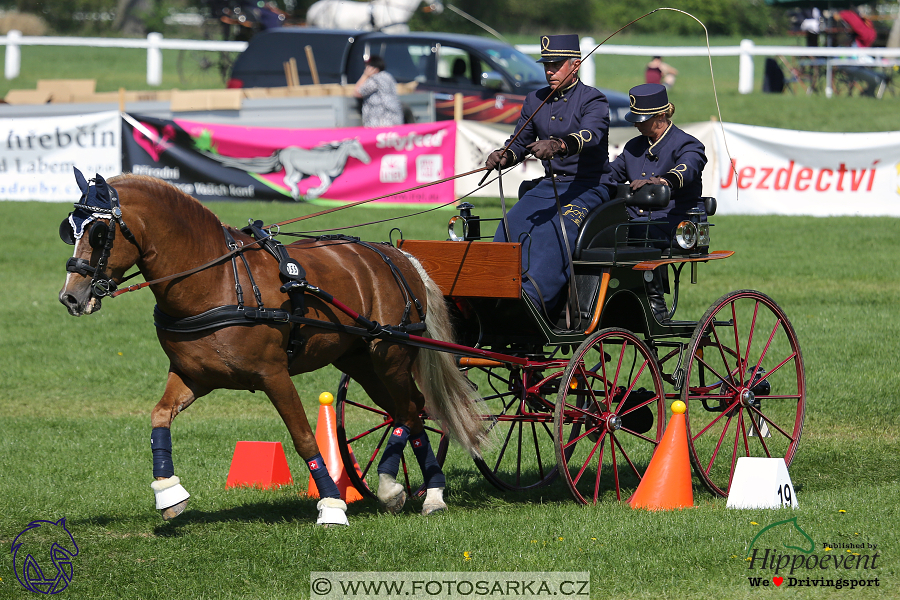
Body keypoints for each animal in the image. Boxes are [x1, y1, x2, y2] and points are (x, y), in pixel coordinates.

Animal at [57, 170, 486, 524]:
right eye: (69, 230)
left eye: (98, 234)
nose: (71, 297)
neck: (217, 279)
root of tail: (398, 254)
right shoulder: (193, 376)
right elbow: (159, 417)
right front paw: (168, 493)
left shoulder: (274, 374)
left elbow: (304, 437)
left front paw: (332, 505)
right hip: (362, 362)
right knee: (409, 410)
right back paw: (410, 490)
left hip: (390, 356)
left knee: (411, 411)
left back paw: (417, 491)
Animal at [202, 138, 370, 199]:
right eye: (355, 147)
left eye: (361, 146)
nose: (367, 159)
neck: (332, 159)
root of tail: (283, 151)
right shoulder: (320, 172)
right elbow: (326, 183)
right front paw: (310, 193)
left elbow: (326, 185)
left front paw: (310, 193)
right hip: (290, 167)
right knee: (286, 179)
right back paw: (295, 193)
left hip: (299, 172)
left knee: (292, 180)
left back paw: (296, 192)